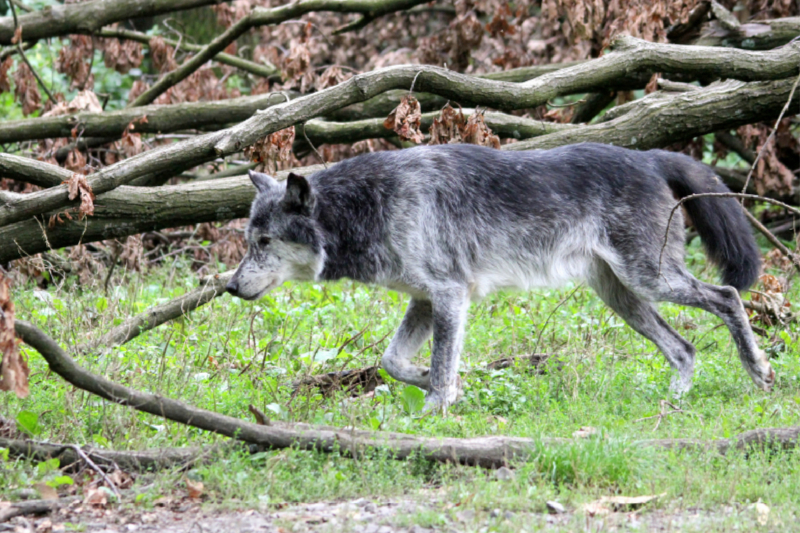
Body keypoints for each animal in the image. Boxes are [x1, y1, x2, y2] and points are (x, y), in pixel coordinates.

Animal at [225, 141, 776, 412]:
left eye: (264, 243)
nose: (229, 286)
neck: (369, 205)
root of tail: (648, 157)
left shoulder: (449, 295)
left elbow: (439, 366)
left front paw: (435, 410)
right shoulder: (426, 300)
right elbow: (393, 362)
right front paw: (443, 387)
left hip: (651, 280)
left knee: (728, 295)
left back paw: (759, 372)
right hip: (623, 297)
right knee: (685, 348)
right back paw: (673, 403)